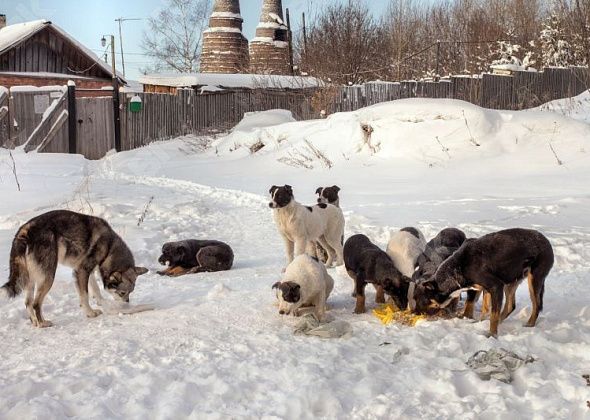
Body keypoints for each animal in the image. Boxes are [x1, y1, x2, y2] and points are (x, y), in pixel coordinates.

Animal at [412, 228, 556, 336]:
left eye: (421, 300)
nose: (415, 313)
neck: (457, 268)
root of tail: (546, 241)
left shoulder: (495, 286)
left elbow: (492, 314)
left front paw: (492, 335)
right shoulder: (480, 288)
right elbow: (480, 308)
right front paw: (479, 323)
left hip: (534, 278)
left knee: (536, 305)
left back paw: (529, 325)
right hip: (511, 280)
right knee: (510, 306)